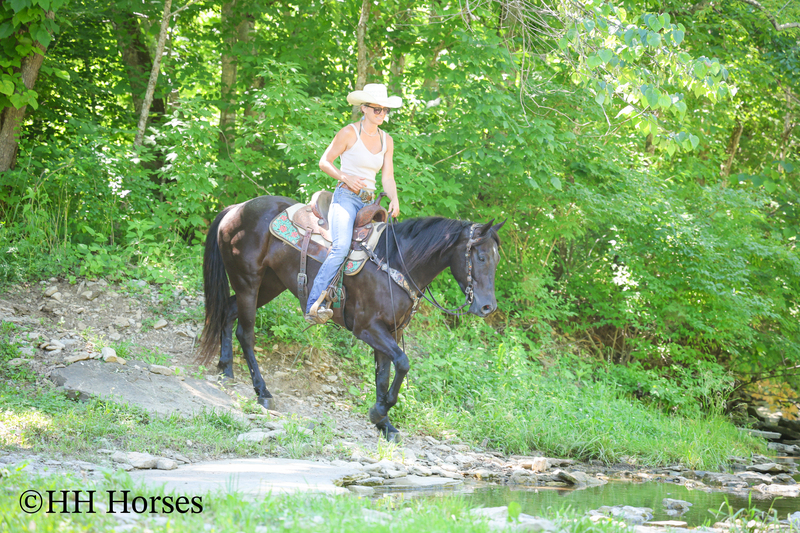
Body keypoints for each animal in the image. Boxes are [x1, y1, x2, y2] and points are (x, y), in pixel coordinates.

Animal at [197, 194, 504, 441]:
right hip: (248, 282)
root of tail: (236, 209)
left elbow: (384, 375)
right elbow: (403, 363)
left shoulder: (391, 332)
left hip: (269, 284)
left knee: (228, 312)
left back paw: (225, 369)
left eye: (496, 259)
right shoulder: (367, 329)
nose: (488, 307)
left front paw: (384, 423)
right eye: (481, 257)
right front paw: (379, 412)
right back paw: (262, 392)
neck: (395, 262)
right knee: (245, 333)